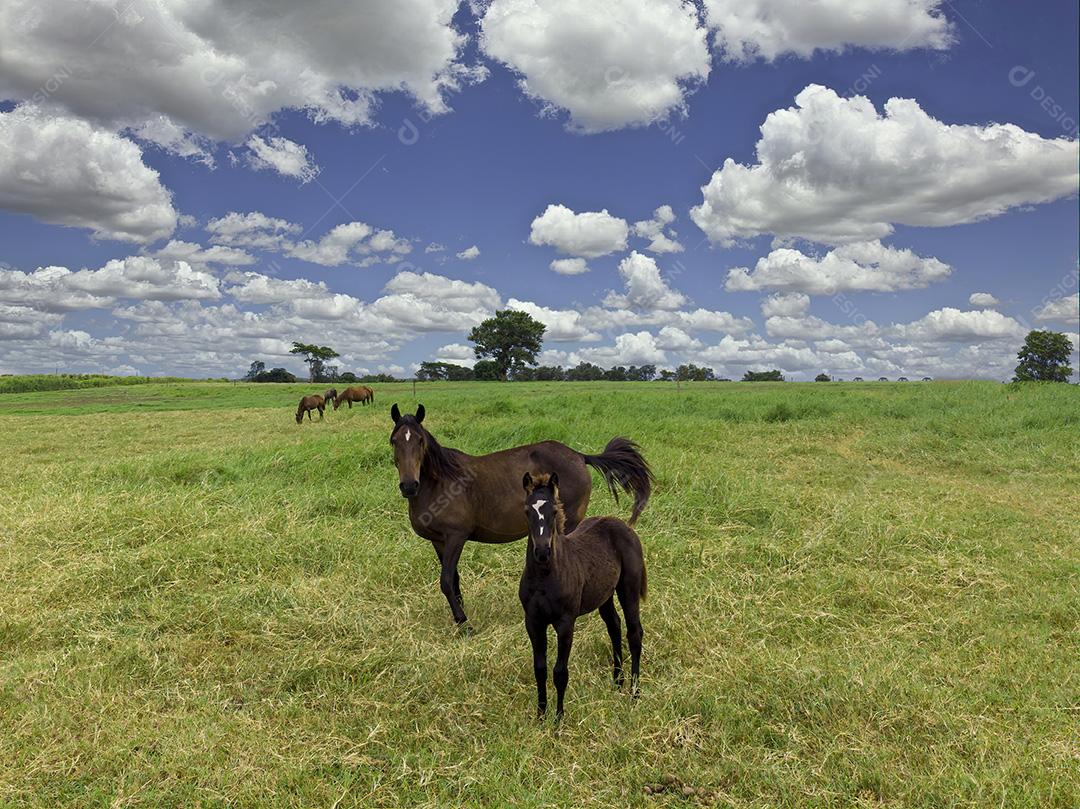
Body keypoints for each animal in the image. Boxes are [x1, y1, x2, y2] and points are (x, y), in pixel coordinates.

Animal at [393, 403, 652, 630]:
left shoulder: (456, 537)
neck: (441, 483)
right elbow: (453, 580)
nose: (409, 486)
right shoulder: (439, 541)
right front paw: (460, 615)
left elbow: (446, 580)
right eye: (393, 441)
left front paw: (464, 624)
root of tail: (579, 456)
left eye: (420, 441)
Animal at [518, 470, 643, 717]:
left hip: (629, 590)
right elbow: (540, 668)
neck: (544, 577)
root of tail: (621, 524)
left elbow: (560, 672)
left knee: (634, 633)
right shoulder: (533, 621)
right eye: (527, 511)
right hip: (605, 594)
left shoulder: (566, 623)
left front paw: (558, 718)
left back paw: (634, 693)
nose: (542, 552)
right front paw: (540, 714)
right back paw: (617, 682)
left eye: (554, 511)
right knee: (614, 626)